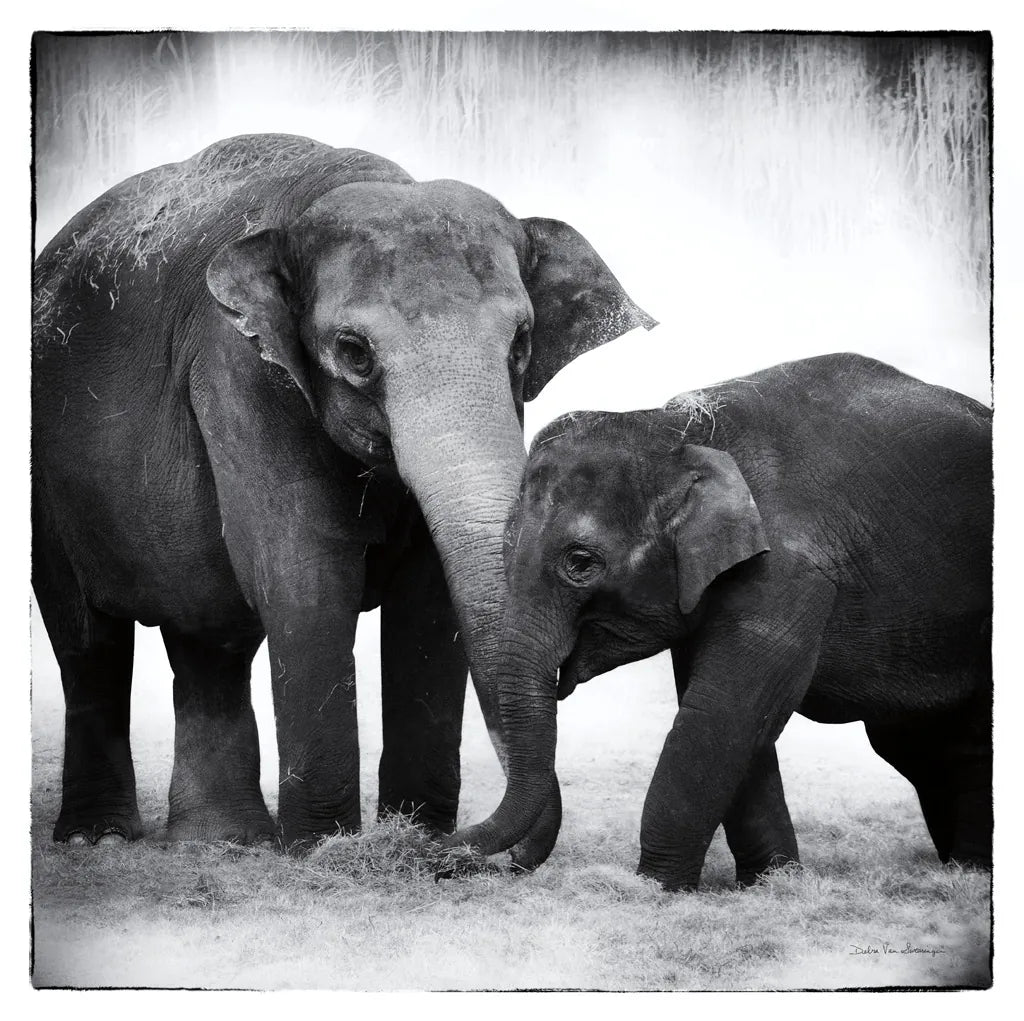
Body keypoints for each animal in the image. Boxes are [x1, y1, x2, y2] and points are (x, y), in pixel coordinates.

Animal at [31, 133, 654, 855]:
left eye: (520, 344)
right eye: (354, 351)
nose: (461, 845)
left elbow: (430, 596)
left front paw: (412, 836)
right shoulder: (240, 370)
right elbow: (306, 576)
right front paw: (325, 849)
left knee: (208, 638)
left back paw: (222, 843)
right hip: (46, 487)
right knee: (88, 640)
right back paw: (99, 839)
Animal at [448, 353, 992, 890]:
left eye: (580, 563)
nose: (448, 856)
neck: (680, 430)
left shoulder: (787, 573)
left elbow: (720, 711)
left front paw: (656, 888)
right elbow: (732, 719)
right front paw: (771, 884)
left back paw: (969, 872)